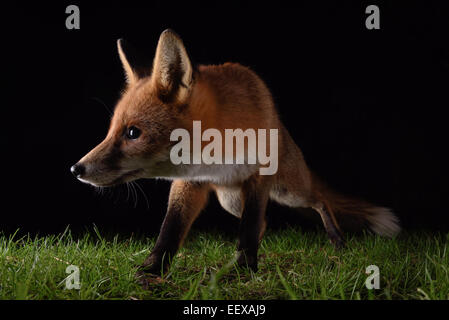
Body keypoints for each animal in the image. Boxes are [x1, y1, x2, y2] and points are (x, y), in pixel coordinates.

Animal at [70, 29, 400, 280]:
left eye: (133, 133)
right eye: (111, 130)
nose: (77, 169)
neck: (218, 151)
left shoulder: (259, 177)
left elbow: (250, 225)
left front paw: (244, 271)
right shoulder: (190, 182)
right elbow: (170, 229)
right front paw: (153, 270)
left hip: (289, 190)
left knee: (319, 200)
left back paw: (337, 239)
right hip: (230, 200)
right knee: (265, 223)